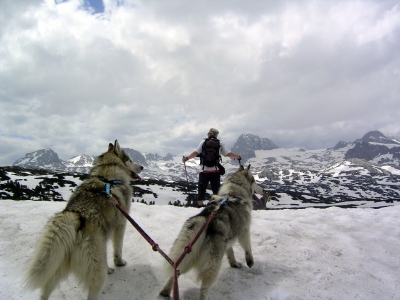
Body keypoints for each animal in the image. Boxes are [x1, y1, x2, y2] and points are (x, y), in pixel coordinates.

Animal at [24, 141, 143, 300]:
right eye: (129, 159)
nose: (142, 167)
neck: (107, 176)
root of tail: (76, 215)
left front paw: (110, 267)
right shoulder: (120, 225)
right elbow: (118, 249)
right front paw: (119, 263)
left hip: (57, 264)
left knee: (45, 291)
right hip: (96, 270)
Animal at [159, 165, 262, 298]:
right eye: (255, 181)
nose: (263, 190)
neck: (234, 192)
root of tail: (204, 219)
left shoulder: (227, 240)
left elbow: (231, 253)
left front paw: (234, 264)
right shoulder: (244, 231)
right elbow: (247, 247)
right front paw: (250, 261)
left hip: (188, 255)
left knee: (176, 271)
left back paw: (165, 291)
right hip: (212, 265)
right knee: (204, 287)